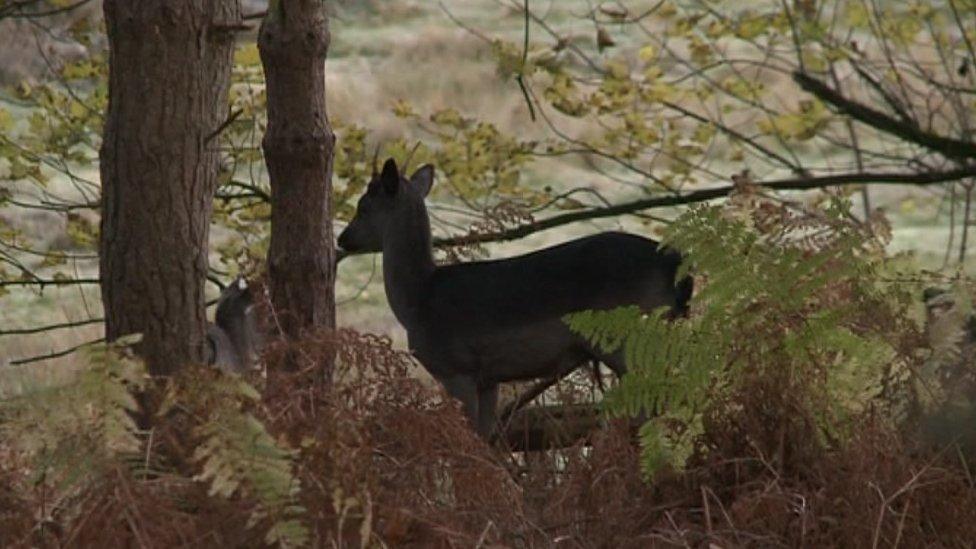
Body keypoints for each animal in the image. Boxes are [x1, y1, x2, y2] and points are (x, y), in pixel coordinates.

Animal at [338, 158, 692, 436]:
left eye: (363, 206)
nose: (343, 238)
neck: (418, 300)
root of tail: (676, 265)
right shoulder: (488, 378)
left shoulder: (456, 368)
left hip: (630, 337)